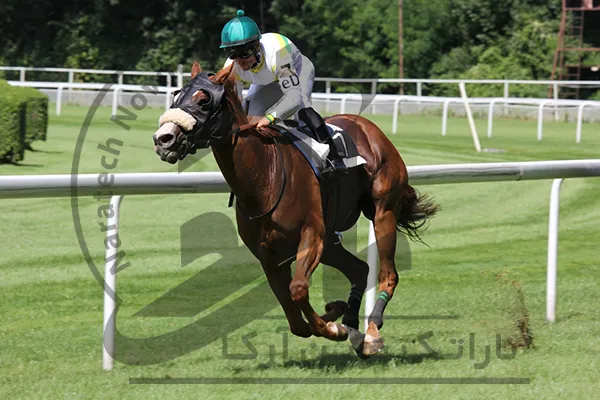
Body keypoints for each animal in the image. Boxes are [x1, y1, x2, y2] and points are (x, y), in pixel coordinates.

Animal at [152, 61, 438, 358]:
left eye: (204, 100)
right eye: (176, 95)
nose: (163, 139)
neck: (264, 177)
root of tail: (369, 127)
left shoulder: (312, 236)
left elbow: (298, 289)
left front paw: (334, 327)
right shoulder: (268, 255)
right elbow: (294, 318)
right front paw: (335, 316)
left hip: (382, 212)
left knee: (387, 274)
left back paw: (371, 333)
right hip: (331, 240)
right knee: (360, 269)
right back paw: (353, 326)